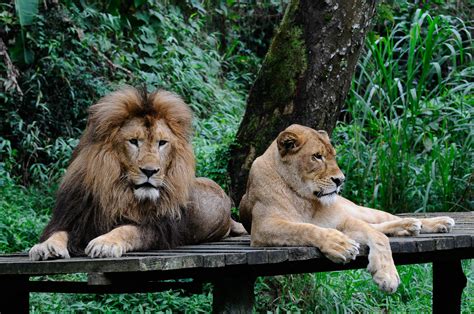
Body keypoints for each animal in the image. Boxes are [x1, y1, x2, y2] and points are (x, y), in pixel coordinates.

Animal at [30, 86, 244, 260]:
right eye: (133, 141)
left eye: (162, 143)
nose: (150, 171)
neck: (117, 191)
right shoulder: (75, 218)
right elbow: (59, 232)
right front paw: (45, 246)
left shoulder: (156, 229)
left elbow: (127, 229)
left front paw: (105, 243)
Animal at [241, 124, 456, 294]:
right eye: (317, 157)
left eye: (333, 156)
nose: (340, 180)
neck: (303, 197)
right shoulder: (263, 227)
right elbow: (304, 228)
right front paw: (341, 245)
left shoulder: (341, 221)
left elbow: (378, 237)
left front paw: (387, 274)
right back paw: (409, 227)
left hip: (357, 210)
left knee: (383, 219)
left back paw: (434, 222)